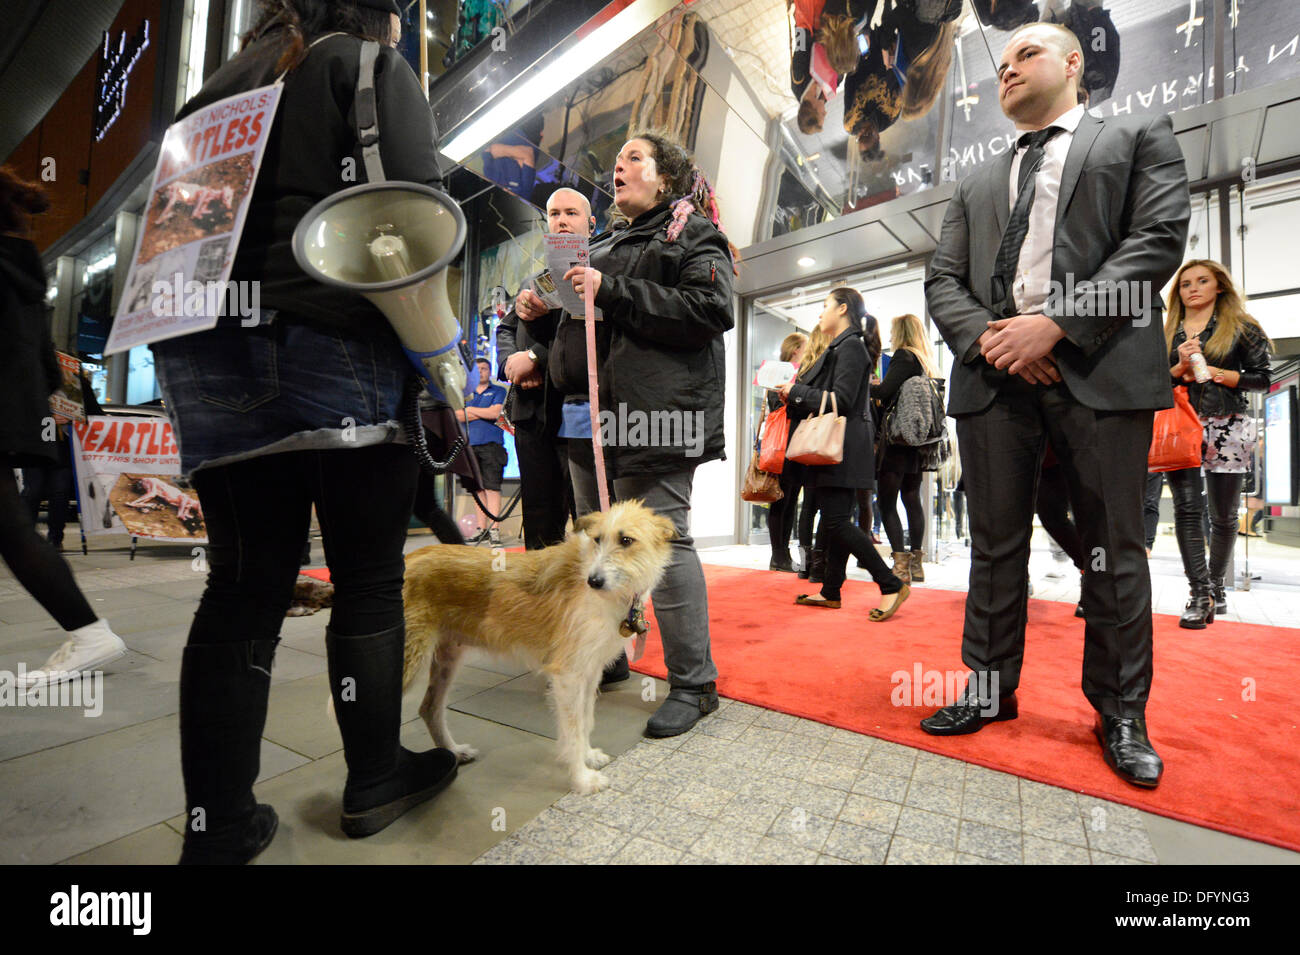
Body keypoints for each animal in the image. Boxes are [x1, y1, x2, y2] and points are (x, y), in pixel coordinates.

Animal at [400, 501, 676, 789]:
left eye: (626, 540)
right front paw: (581, 779)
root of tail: (409, 559)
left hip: (448, 656)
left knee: (429, 708)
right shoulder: (567, 675)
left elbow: (585, 719)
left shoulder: (589, 672)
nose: (594, 581)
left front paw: (588, 756)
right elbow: (573, 728)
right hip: (409, 659)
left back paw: (454, 751)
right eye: (597, 540)